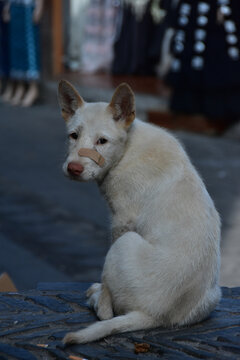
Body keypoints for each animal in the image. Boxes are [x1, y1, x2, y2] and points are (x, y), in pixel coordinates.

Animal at [57, 80, 221, 344]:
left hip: (124, 243)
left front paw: (100, 292)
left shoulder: (121, 221)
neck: (127, 148)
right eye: (73, 136)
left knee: (106, 313)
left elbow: (106, 293)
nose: (73, 168)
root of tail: (154, 316)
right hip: (214, 296)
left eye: (102, 141)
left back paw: (97, 298)